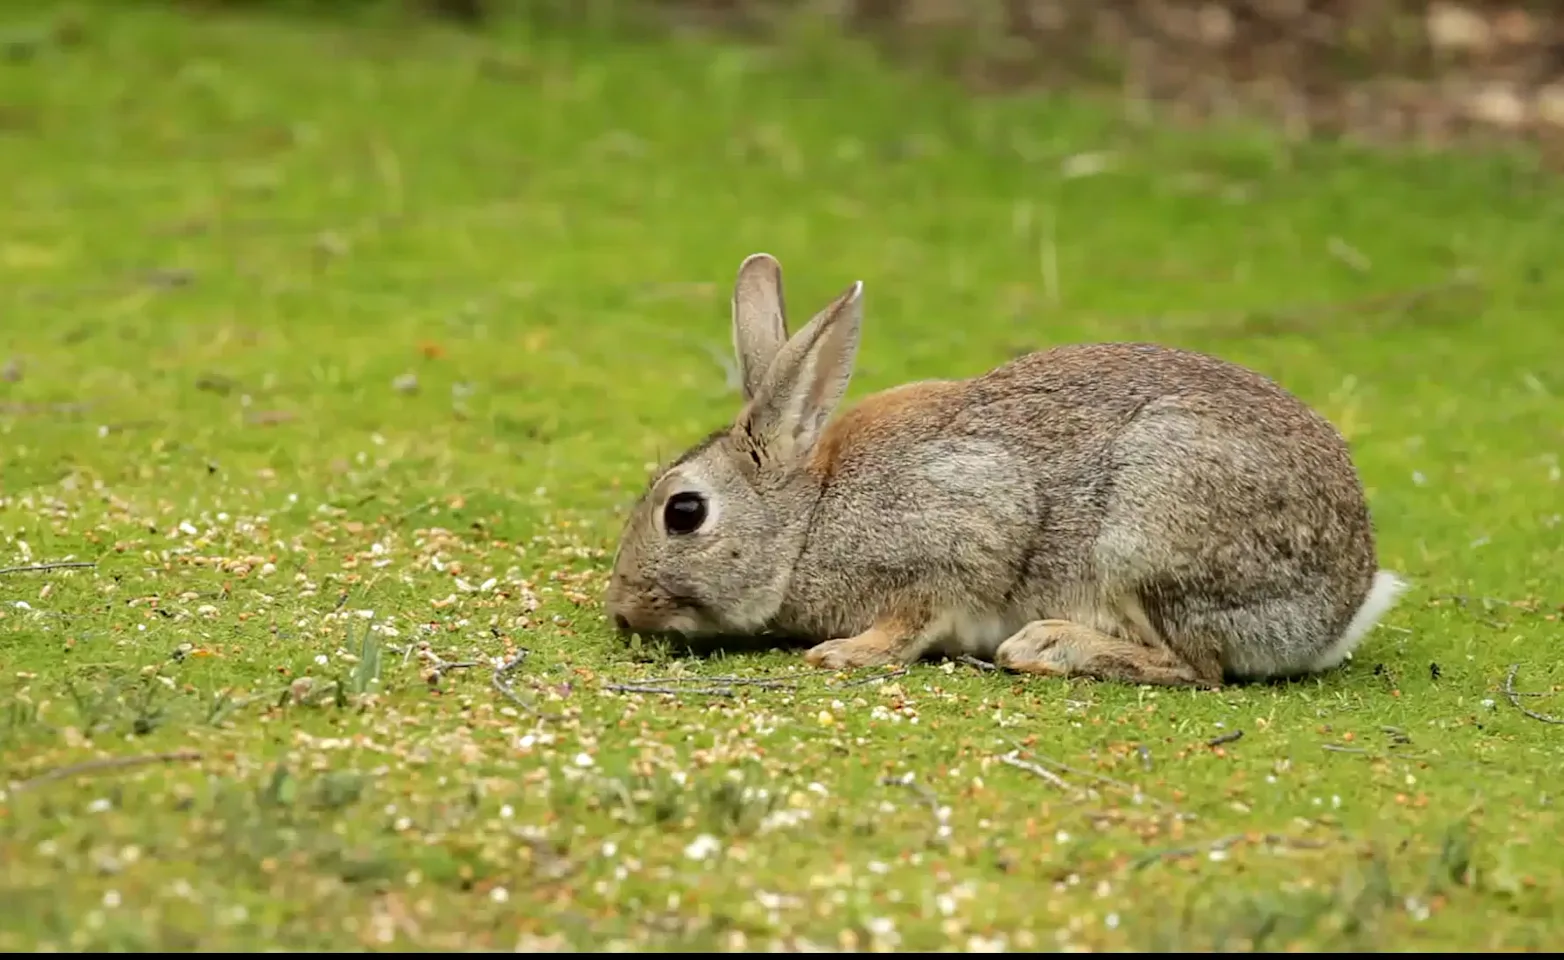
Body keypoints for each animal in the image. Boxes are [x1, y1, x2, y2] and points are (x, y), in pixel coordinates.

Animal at [603, 253, 1408, 687]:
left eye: (684, 512)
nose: (622, 608)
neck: (809, 517)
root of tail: (1343, 607)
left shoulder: (964, 529)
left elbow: (920, 611)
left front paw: (844, 653)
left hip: (1151, 534)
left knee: (1196, 665)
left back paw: (1047, 645)